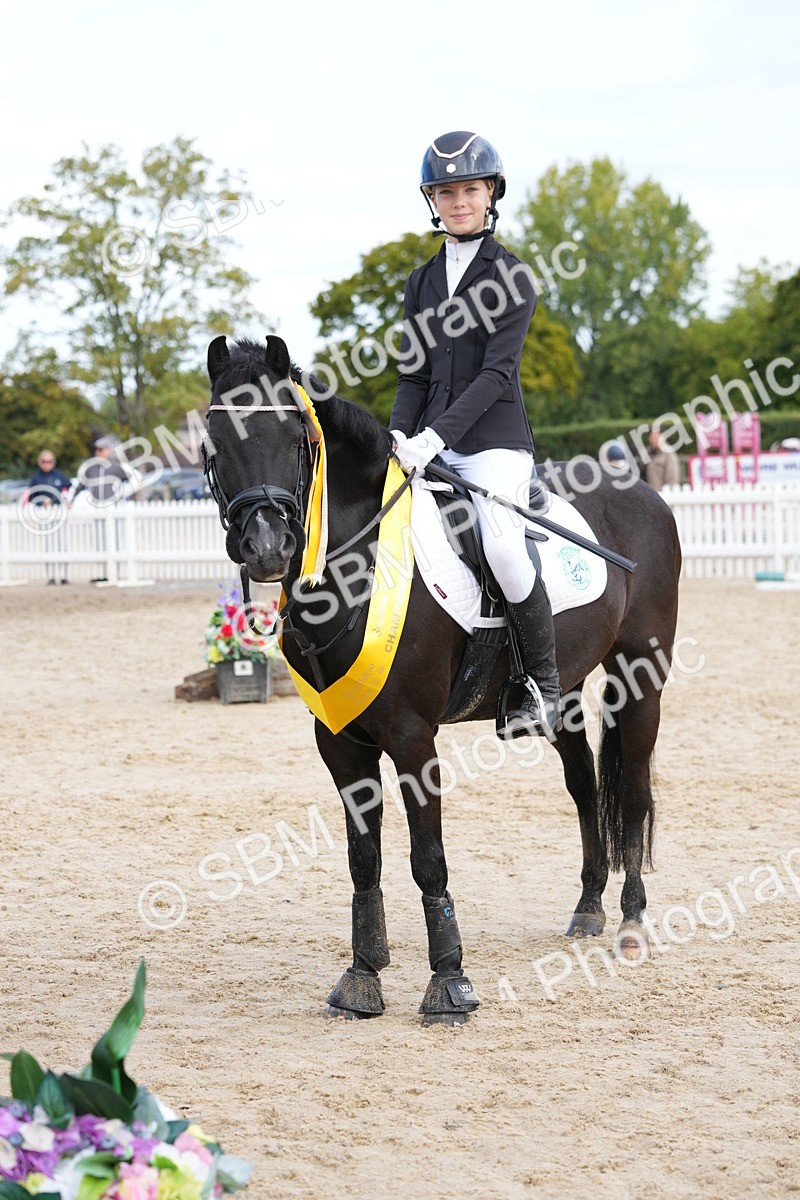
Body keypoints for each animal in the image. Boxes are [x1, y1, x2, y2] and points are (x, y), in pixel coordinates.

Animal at [204, 333, 682, 1023]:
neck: (358, 562)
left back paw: (632, 921)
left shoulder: (411, 737)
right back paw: (589, 907)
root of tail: (642, 492)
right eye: (216, 442)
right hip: (561, 693)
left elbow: (427, 859)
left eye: (297, 437)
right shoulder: (339, 740)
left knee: (635, 788)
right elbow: (363, 859)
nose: (268, 546)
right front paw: (362, 979)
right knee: (586, 786)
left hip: (641, 676)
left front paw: (449, 984)